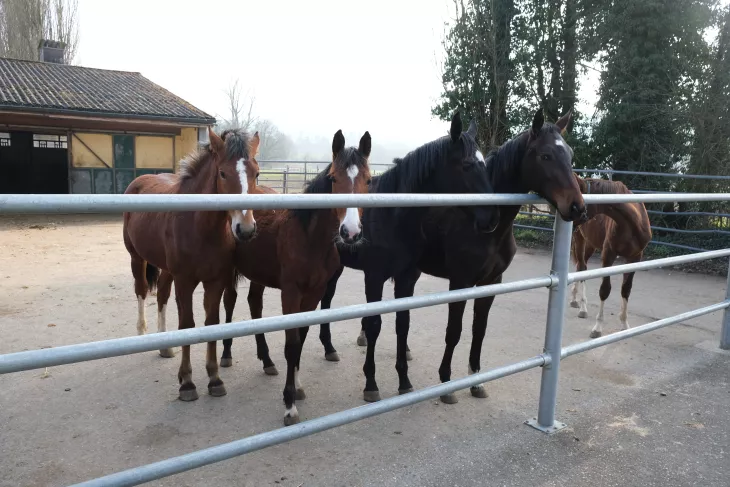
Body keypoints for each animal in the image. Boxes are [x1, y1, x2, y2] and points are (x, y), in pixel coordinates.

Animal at [123, 127, 260, 402]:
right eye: (222, 173)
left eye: (257, 173)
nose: (246, 229)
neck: (200, 227)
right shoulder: (185, 281)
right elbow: (187, 324)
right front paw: (187, 383)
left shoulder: (215, 281)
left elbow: (211, 324)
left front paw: (215, 379)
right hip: (137, 258)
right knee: (142, 290)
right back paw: (142, 333)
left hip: (166, 269)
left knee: (162, 294)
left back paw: (165, 346)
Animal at [219, 113, 498, 378]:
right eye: (467, 166)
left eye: (485, 164)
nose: (491, 218)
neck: (392, 216)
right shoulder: (374, 276)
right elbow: (375, 324)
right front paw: (371, 382)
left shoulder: (407, 277)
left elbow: (402, 323)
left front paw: (403, 379)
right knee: (233, 300)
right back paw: (228, 354)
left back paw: (325, 348)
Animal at [316, 110, 584, 404]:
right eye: (546, 156)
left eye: (570, 154)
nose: (578, 207)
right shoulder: (460, 281)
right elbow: (453, 331)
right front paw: (446, 382)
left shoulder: (491, 282)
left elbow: (479, 329)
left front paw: (476, 380)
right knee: (328, 301)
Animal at [568, 175, 648, 340]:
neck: (632, 225)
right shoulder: (608, 255)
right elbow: (605, 290)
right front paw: (597, 328)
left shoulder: (635, 257)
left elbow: (626, 289)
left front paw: (625, 324)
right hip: (580, 239)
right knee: (582, 268)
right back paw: (582, 308)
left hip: (590, 244)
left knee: (580, 266)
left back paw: (574, 300)